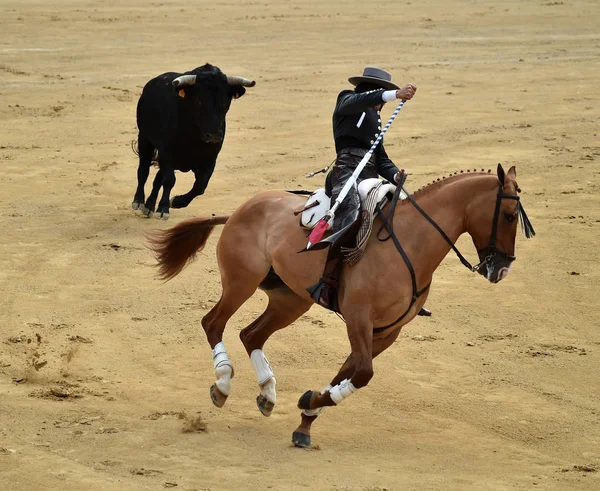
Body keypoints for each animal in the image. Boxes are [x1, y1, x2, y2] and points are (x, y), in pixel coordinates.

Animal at [132, 63, 254, 219]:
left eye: (226, 103)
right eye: (199, 101)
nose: (213, 135)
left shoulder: (209, 159)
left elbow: (200, 185)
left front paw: (176, 202)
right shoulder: (167, 153)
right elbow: (169, 180)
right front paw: (164, 209)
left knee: (158, 178)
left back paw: (149, 206)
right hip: (144, 139)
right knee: (143, 170)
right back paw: (139, 202)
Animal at [149, 163, 536, 448]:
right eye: (508, 215)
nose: (501, 268)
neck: (411, 243)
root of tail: (236, 211)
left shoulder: (387, 332)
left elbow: (348, 372)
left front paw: (307, 416)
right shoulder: (358, 318)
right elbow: (362, 373)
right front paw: (309, 404)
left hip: (291, 300)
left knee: (251, 335)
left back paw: (268, 395)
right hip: (241, 283)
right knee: (214, 323)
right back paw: (222, 385)